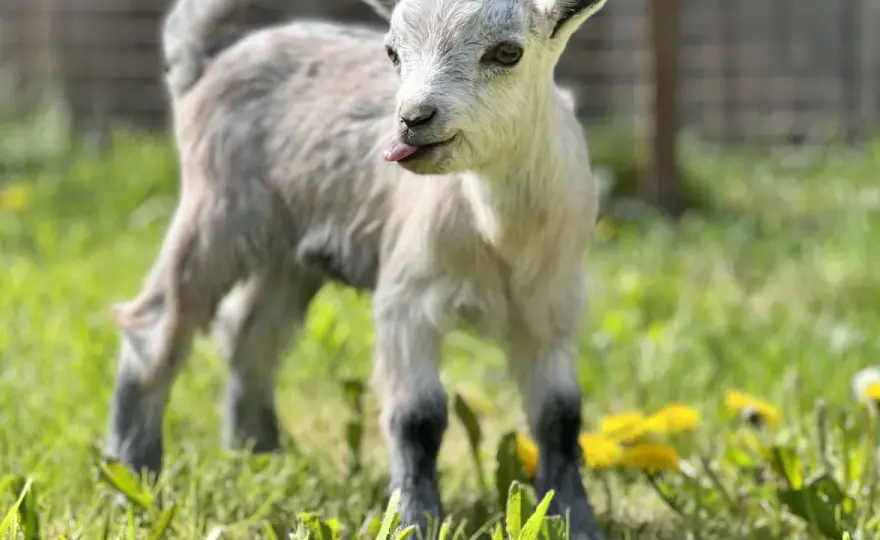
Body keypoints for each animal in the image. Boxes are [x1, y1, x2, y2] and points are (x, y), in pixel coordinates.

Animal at [104, 0, 607, 537]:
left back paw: (258, 456)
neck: (497, 231)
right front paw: (415, 521)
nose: (412, 119)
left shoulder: (551, 311)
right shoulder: (408, 301)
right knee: (158, 326)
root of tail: (206, 64)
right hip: (219, 209)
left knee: (250, 334)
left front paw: (576, 521)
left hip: (289, 251)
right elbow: (417, 419)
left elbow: (559, 419)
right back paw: (134, 477)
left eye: (508, 52)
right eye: (392, 52)